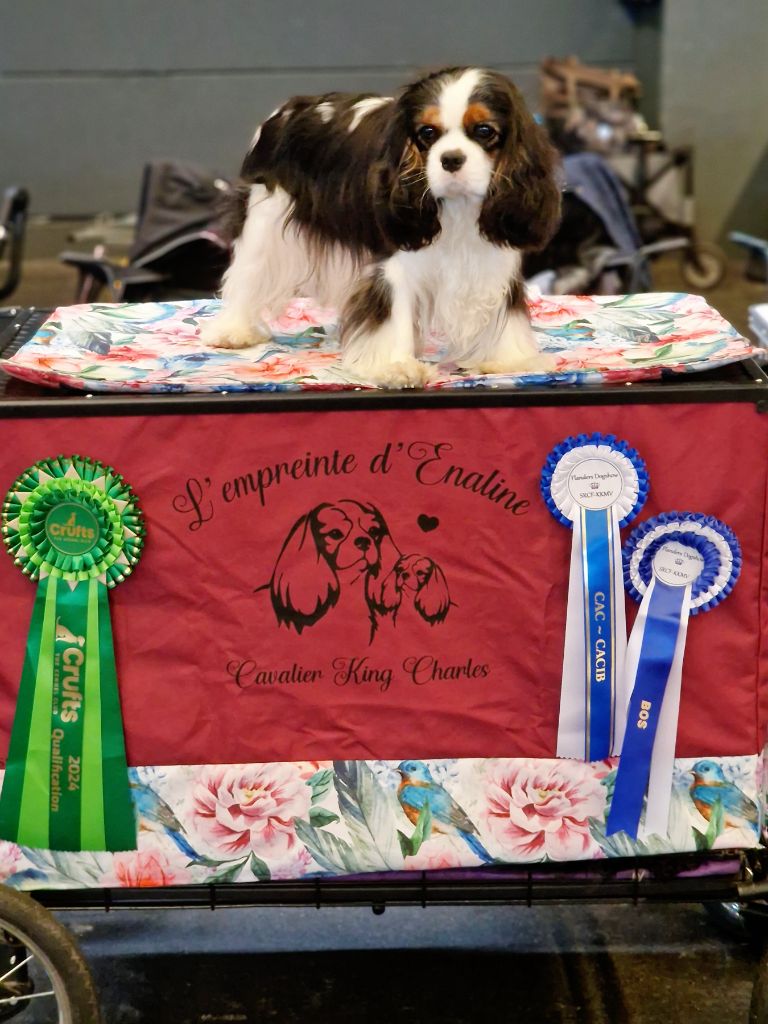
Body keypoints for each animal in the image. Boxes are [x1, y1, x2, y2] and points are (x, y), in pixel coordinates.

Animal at [201, 66, 561, 387]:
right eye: (427, 133)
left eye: (484, 131)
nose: (450, 159)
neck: (457, 206)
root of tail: (289, 108)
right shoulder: (396, 261)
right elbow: (395, 309)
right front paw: (397, 366)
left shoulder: (494, 258)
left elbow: (505, 310)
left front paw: (510, 358)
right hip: (264, 220)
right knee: (246, 276)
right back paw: (234, 330)